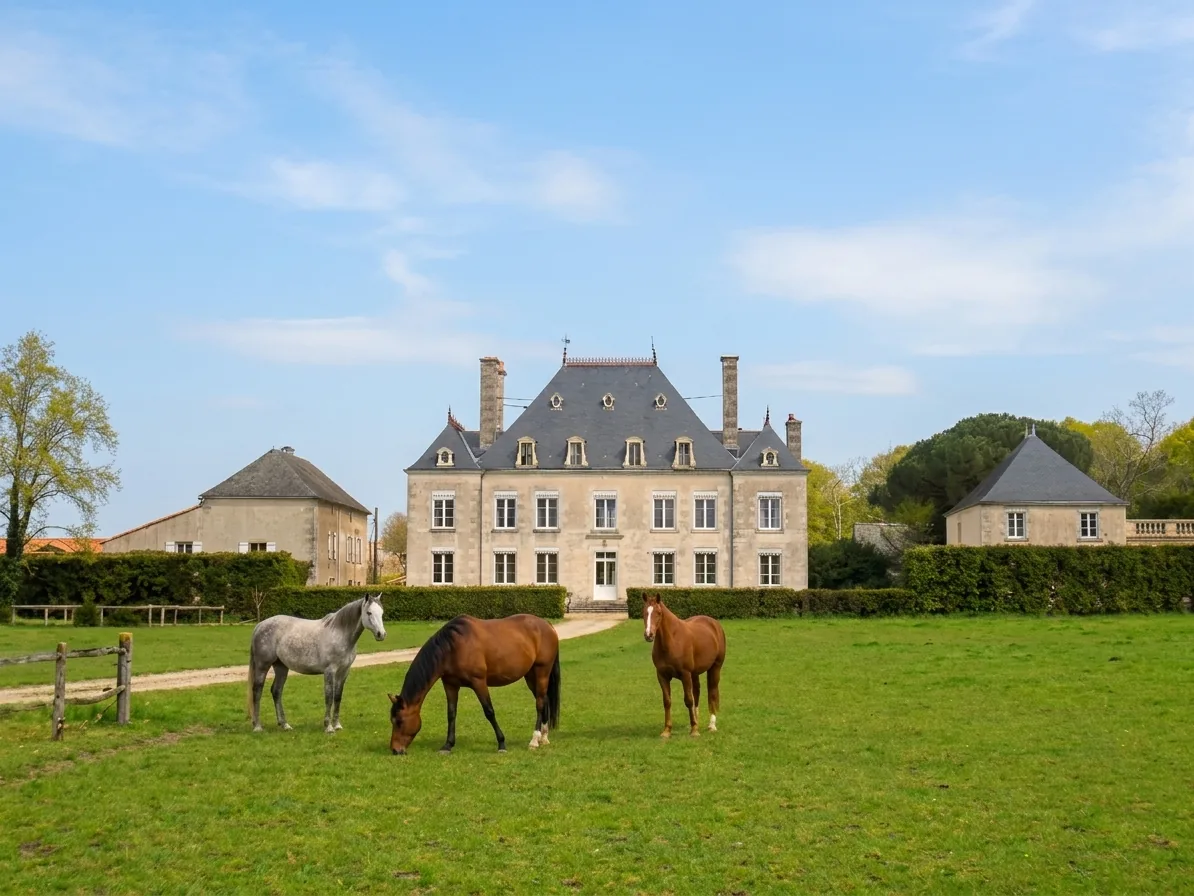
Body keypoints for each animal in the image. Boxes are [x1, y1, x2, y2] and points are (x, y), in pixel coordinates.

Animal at [247, 593, 386, 734]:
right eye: (369, 612)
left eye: (381, 613)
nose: (381, 634)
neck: (340, 634)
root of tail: (260, 625)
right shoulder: (330, 671)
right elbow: (329, 697)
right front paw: (328, 727)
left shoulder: (344, 671)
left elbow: (337, 697)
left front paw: (337, 725)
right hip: (262, 666)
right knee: (257, 691)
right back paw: (258, 726)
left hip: (281, 667)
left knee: (276, 691)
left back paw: (285, 725)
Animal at [388, 614, 560, 755]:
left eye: (399, 721)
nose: (395, 750)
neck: (452, 647)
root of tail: (547, 625)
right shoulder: (450, 685)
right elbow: (451, 714)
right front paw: (447, 745)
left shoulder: (479, 682)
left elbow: (489, 711)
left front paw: (501, 744)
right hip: (530, 676)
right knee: (544, 701)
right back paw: (544, 738)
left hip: (542, 671)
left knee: (539, 703)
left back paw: (534, 740)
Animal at [641, 592, 726, 738]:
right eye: (644, 612)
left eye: (658, 613)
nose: (649, 635)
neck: (672, 640)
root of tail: (715, 624)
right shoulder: (662, 676)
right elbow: (667, 701)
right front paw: (667, 730)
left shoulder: (685, 674)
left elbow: (688, 700)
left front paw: (694, 731)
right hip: (695, 673)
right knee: (697, 692)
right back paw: (696, 721)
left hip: (715, 668)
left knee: (712, 692)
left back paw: (711, 725)